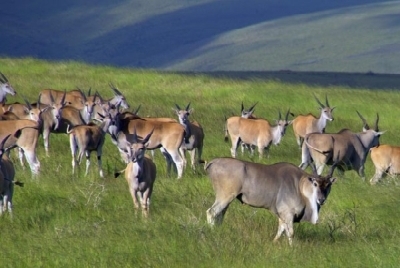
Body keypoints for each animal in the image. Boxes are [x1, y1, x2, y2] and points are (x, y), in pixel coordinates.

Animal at [206, 157, 338, 245]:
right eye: (315, 184)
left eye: (328, 185)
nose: (321, 199)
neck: (300, 184)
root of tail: (213, 162)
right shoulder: (287, 213)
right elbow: (290, 232)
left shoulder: (282, 215)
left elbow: (281, 230)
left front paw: (274, 242)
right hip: (225, 196)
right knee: (212, 212)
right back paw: (212, 233)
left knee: (220, 214)